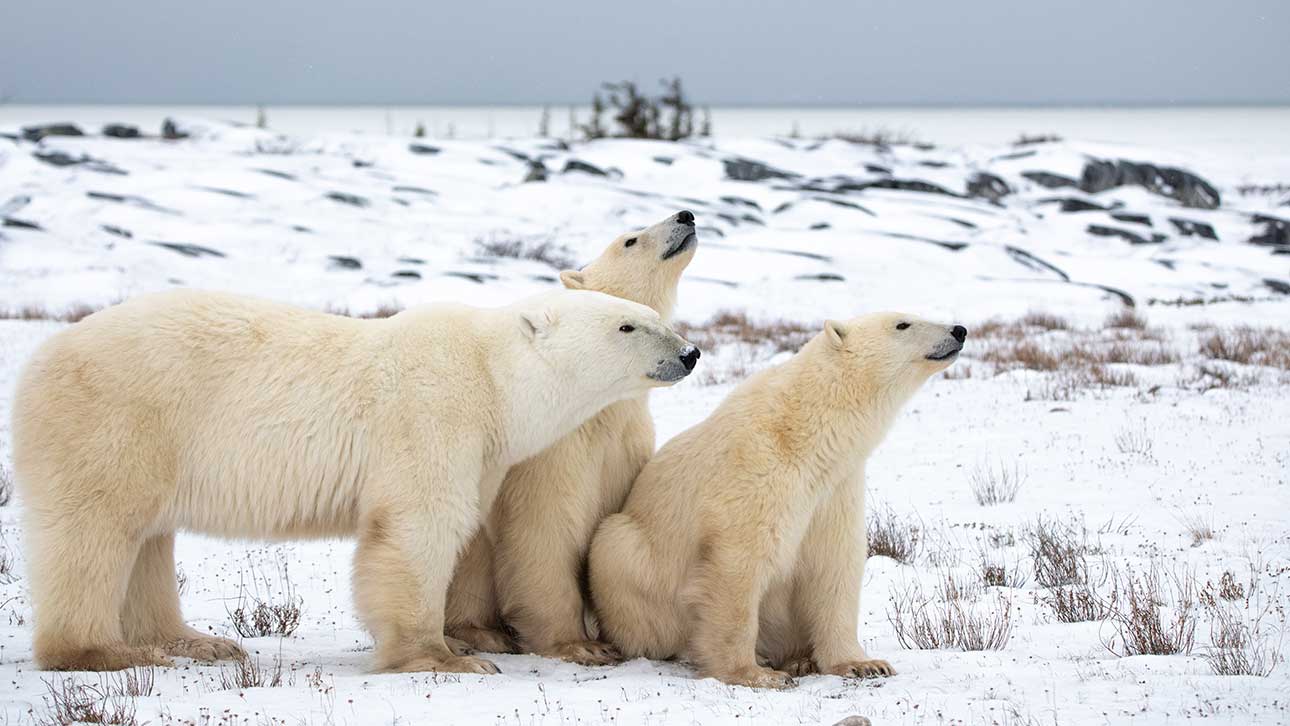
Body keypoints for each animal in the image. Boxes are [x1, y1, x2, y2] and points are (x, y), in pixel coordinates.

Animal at [12, 287, 696, 675]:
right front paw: (445, 658)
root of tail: (38, 360)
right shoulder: (433, 415)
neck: (492, 377)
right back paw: (102, 653)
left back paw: (196, 643)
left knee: (148, 540)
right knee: (94, 532)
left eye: (651, 314)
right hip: (118, 420)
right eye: (627, 326)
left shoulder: (485, 450)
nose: (690, 353)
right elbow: (418, 528)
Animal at [448, 210, 701, 665]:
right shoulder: (556, 449)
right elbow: (546, 526)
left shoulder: (626, 447)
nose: (685, 215)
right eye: (630, 240)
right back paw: (482, 633)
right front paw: (580, 644)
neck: (601, 407)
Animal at [590, 310, 964, 686]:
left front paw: (864, 663)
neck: (806, 432)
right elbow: (739, 566)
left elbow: (835, 565)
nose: (959, 330)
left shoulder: (835, 490)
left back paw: (799, 659)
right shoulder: (757, 474)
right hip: (630, 555)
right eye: (903, 324)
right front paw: (754, 674)